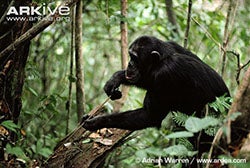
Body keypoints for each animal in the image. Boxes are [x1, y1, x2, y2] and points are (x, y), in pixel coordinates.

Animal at [83, 35, 229, 131]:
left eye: (135, 58)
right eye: (130, 56)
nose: (130, 64)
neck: (162, 60)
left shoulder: (165, 75)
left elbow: (150, 116)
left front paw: (97, 122)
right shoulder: (174, 45)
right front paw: (116, 78)